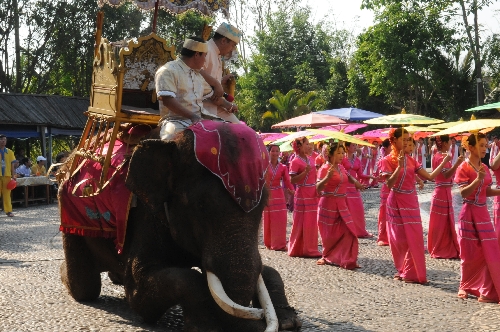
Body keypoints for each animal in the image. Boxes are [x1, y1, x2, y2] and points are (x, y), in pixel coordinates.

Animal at [58, 122, 300, 332]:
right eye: (201, 206)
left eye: (264, 205)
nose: (259, 317)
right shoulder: (145, 213)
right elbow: (138, 290)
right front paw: (205, 326)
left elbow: (268, 271)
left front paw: (288, 321)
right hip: (69, 214)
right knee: (85, 287)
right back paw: (65, 273)